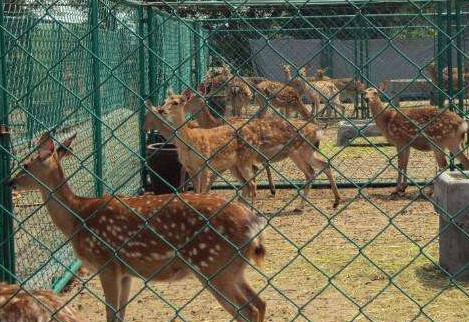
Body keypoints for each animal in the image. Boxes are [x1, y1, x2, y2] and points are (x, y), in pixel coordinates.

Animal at [7, 131, 266, 322]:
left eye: (25, 165)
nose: (10, 182)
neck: (77, 218)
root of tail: (252, 225)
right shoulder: (125, 272)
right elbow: (120, 314)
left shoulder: (106, 263)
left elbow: (111, 315)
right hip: (233, 268)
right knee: (259, 303)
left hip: (213, 265)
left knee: (248, 309)